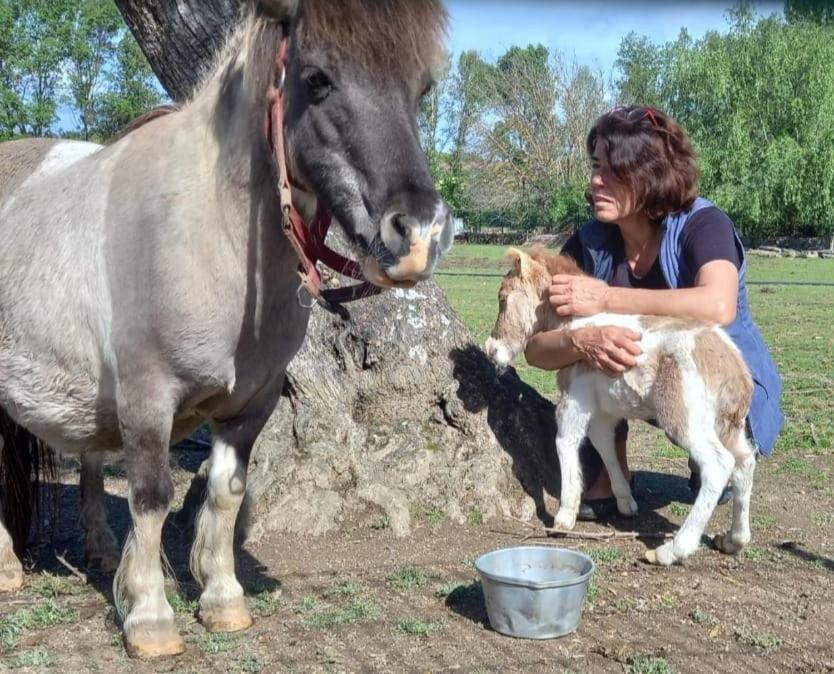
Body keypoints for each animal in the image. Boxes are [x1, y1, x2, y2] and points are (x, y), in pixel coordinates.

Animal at [0, 0, 452, 652]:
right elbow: (151, 497)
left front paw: (222, 598)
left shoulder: (251, 405)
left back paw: (100, 552)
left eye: (421, 88)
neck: (207, 231)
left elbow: (225, 492)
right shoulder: (147, 399)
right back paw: (9, 568)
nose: (418, 235)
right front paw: (150, 616)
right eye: (316, 79)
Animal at [484, 247, 756, 560]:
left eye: (503, 298)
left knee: (718, 464)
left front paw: (564, 516)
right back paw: (734, 539)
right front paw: (626, 502)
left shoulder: (576, 399)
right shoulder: (604, 410)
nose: (491, 349)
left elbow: (566, 441)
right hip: (728, 425)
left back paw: (672, 550)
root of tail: (736, 370)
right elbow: (605, 444)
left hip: (684, 418)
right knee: (745, 460)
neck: (578, 325)